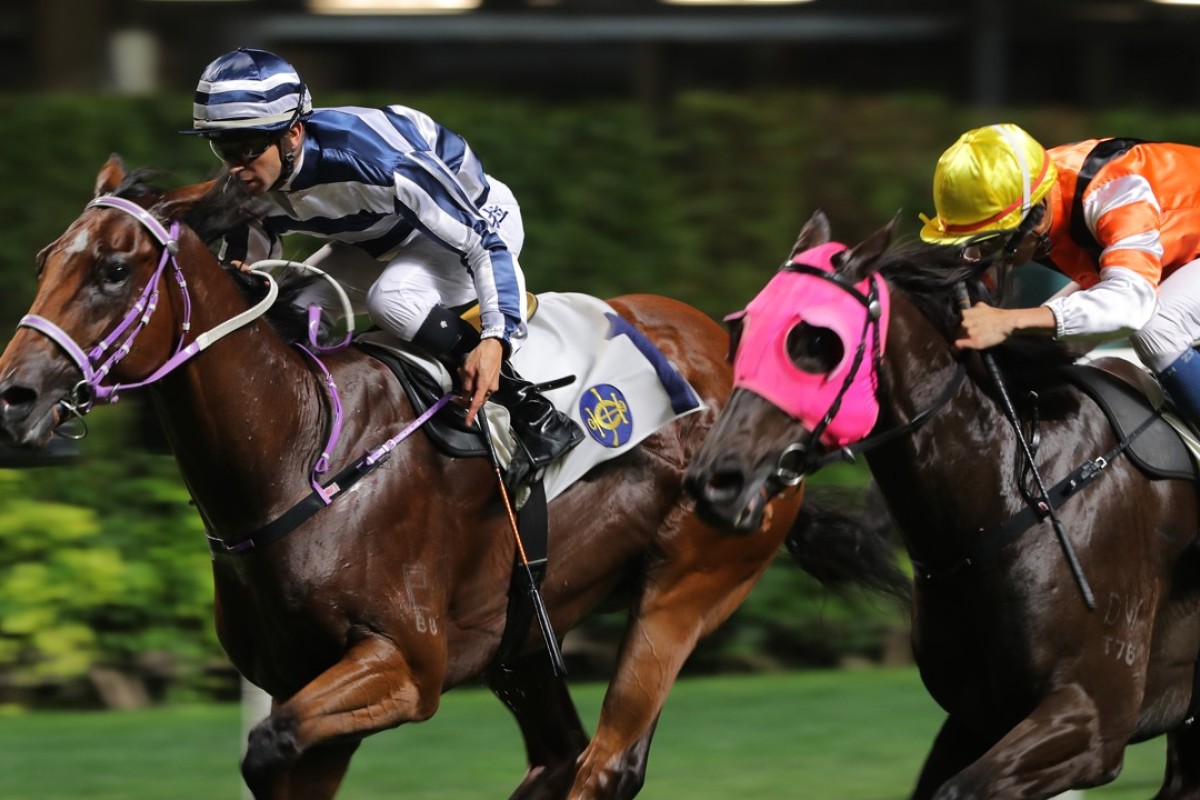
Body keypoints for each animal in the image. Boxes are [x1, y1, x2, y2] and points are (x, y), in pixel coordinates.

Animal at [0, 154, 854, 800]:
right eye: (44, 261)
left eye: (114, 269)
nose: (16, 394)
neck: (301, 457)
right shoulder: (303, 679)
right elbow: (280, 753)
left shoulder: (406, 665)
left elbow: (271, 744)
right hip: (525, 631)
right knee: (559, 757)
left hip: (684, 590)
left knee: (606, 763)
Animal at [691, 211, 1200, 800]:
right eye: (742, 332)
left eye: (816, 342)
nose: (716, 482)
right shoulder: (978, 718)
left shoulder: (1091, 716)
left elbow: (961, 788)